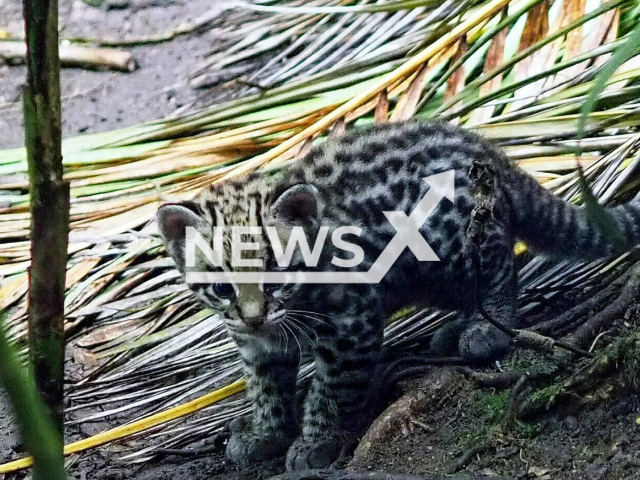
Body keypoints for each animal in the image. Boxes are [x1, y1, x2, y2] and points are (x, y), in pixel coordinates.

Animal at [156, 120, 640, 468]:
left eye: (276, 277)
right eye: (222, 288)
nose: (254, 316)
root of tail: (486, 150)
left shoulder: (352, 323)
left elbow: (331, 387)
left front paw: (316, 440)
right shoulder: (258, 345)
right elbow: (266, 386)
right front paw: (266, 433)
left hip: (450, 249)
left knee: (501, 269)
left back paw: (487, 329)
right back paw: (457, 329)